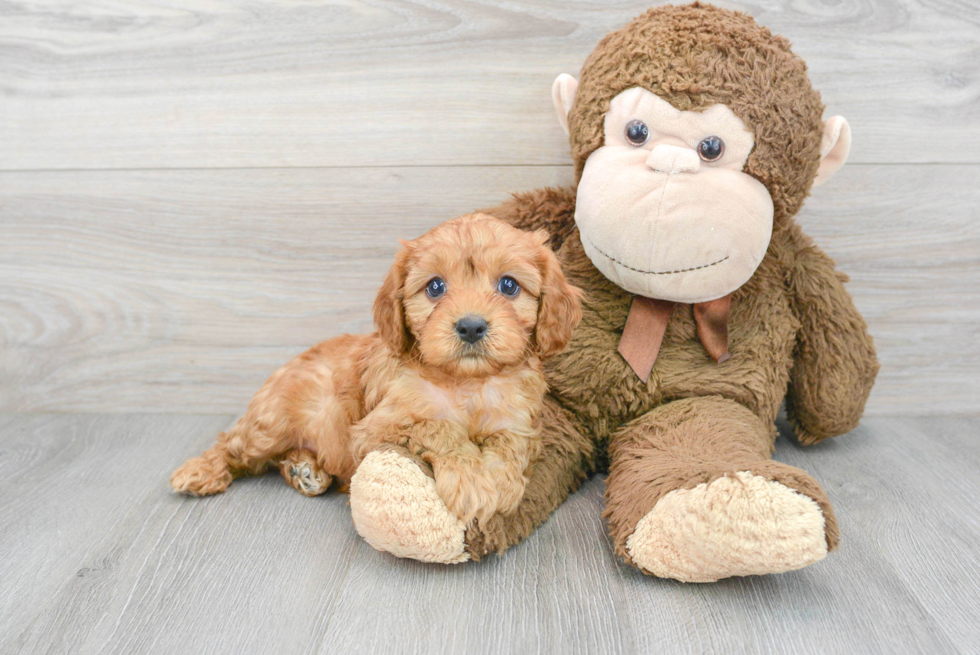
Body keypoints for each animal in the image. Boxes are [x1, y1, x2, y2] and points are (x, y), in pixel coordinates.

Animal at [172, 215, 580, 528]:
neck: (466, 383)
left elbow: (510, 447)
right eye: (435, 287)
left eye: (508, 285)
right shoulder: (374, 429)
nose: (471, 326)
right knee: (233, 444)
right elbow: (438, 426)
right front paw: (472, 482)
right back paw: (200, 471)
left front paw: (501, 481)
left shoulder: (518, 422)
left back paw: (304, 470)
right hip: (272, 423)